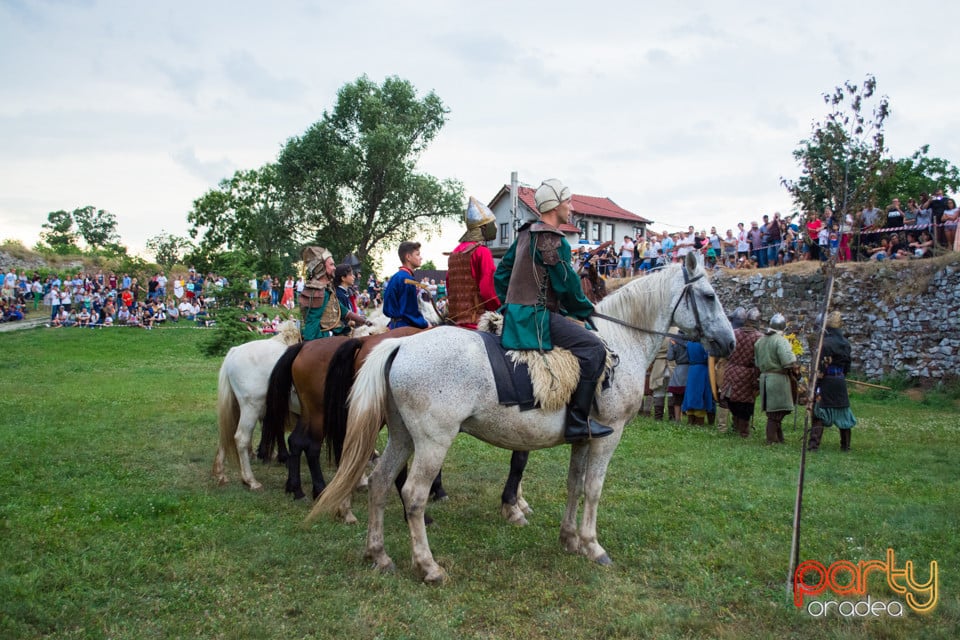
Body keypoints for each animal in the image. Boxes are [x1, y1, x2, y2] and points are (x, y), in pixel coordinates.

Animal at [213, 320, 300, 490]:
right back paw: (250, 480)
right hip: (251, 407)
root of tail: (234, 351)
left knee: (227, 432)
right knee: (241, 437)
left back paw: (221, 473)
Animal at [312, 252, 740, 584]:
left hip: (402, 436)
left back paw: (378, 554)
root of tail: (398, 345)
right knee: (413, 495)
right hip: (433, 442)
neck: (620, 344)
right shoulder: (608, 435)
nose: (730, 343)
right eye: (708, 296)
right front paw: (593, 545)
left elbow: (574, 485)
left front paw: (569, 539)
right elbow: (593, 489)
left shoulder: (583, 437)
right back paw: (428, 566)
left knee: (381, 482)